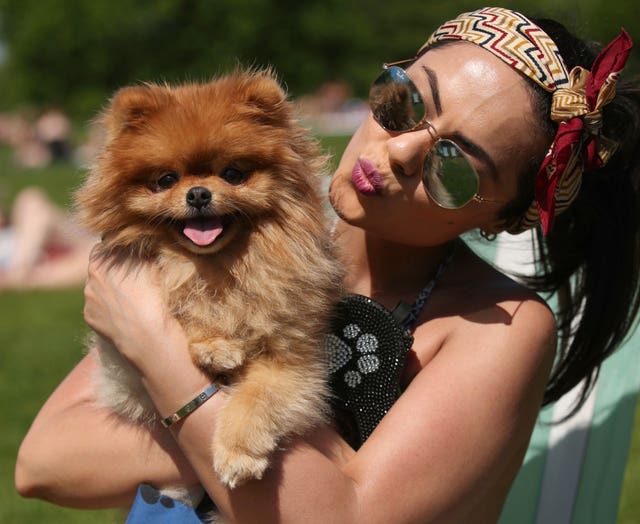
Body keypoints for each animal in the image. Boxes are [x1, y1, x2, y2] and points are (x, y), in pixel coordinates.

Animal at [75, 67, 342, 490]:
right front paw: (214, 344)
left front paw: (237, 452)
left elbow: (257, 398)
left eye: (232, 174)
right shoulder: (120, 372)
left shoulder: (293, 359)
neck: (217, 268)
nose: (198, 193)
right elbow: (185, 309)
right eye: (166, 180)